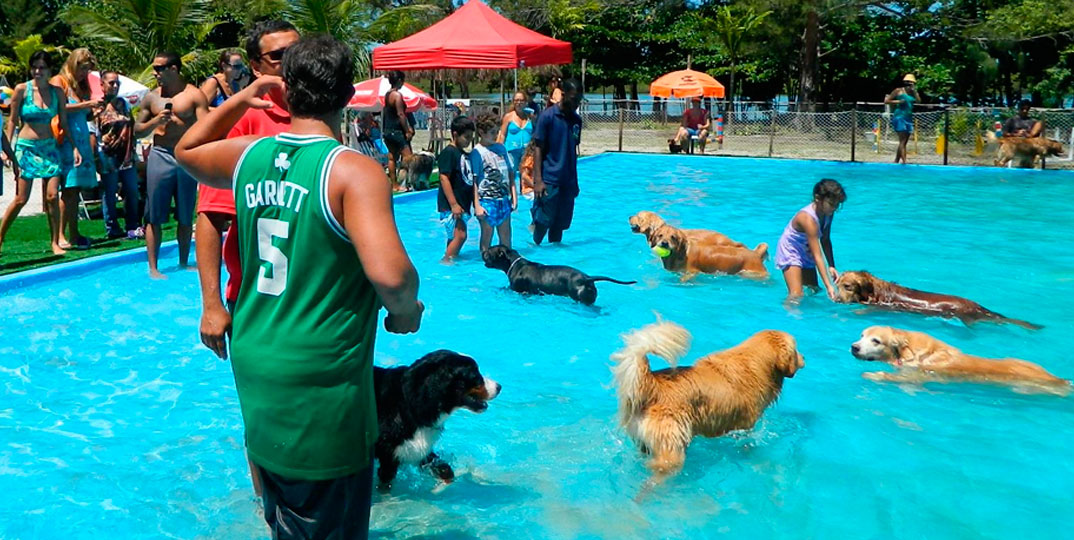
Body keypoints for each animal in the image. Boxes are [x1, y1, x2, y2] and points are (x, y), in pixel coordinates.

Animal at [371, 349, 500, 489]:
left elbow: (445, 469)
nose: (499, 387)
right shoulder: (389, 457)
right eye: (476, 375)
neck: (412, 403)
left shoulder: (418, 449)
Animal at [614, 319, 807, 483]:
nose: (804, 358)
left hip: (644, 443)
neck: (759, 363)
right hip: (671, 450)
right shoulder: (745, 425)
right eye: (796, 350)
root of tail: (652, 383)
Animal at [850, 326, 1069, 397]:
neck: (907, 349)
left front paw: (873, 375)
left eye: (876, 341)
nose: (854, 347)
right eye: (861, 335)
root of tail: (1059, 379)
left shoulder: (918, 373)